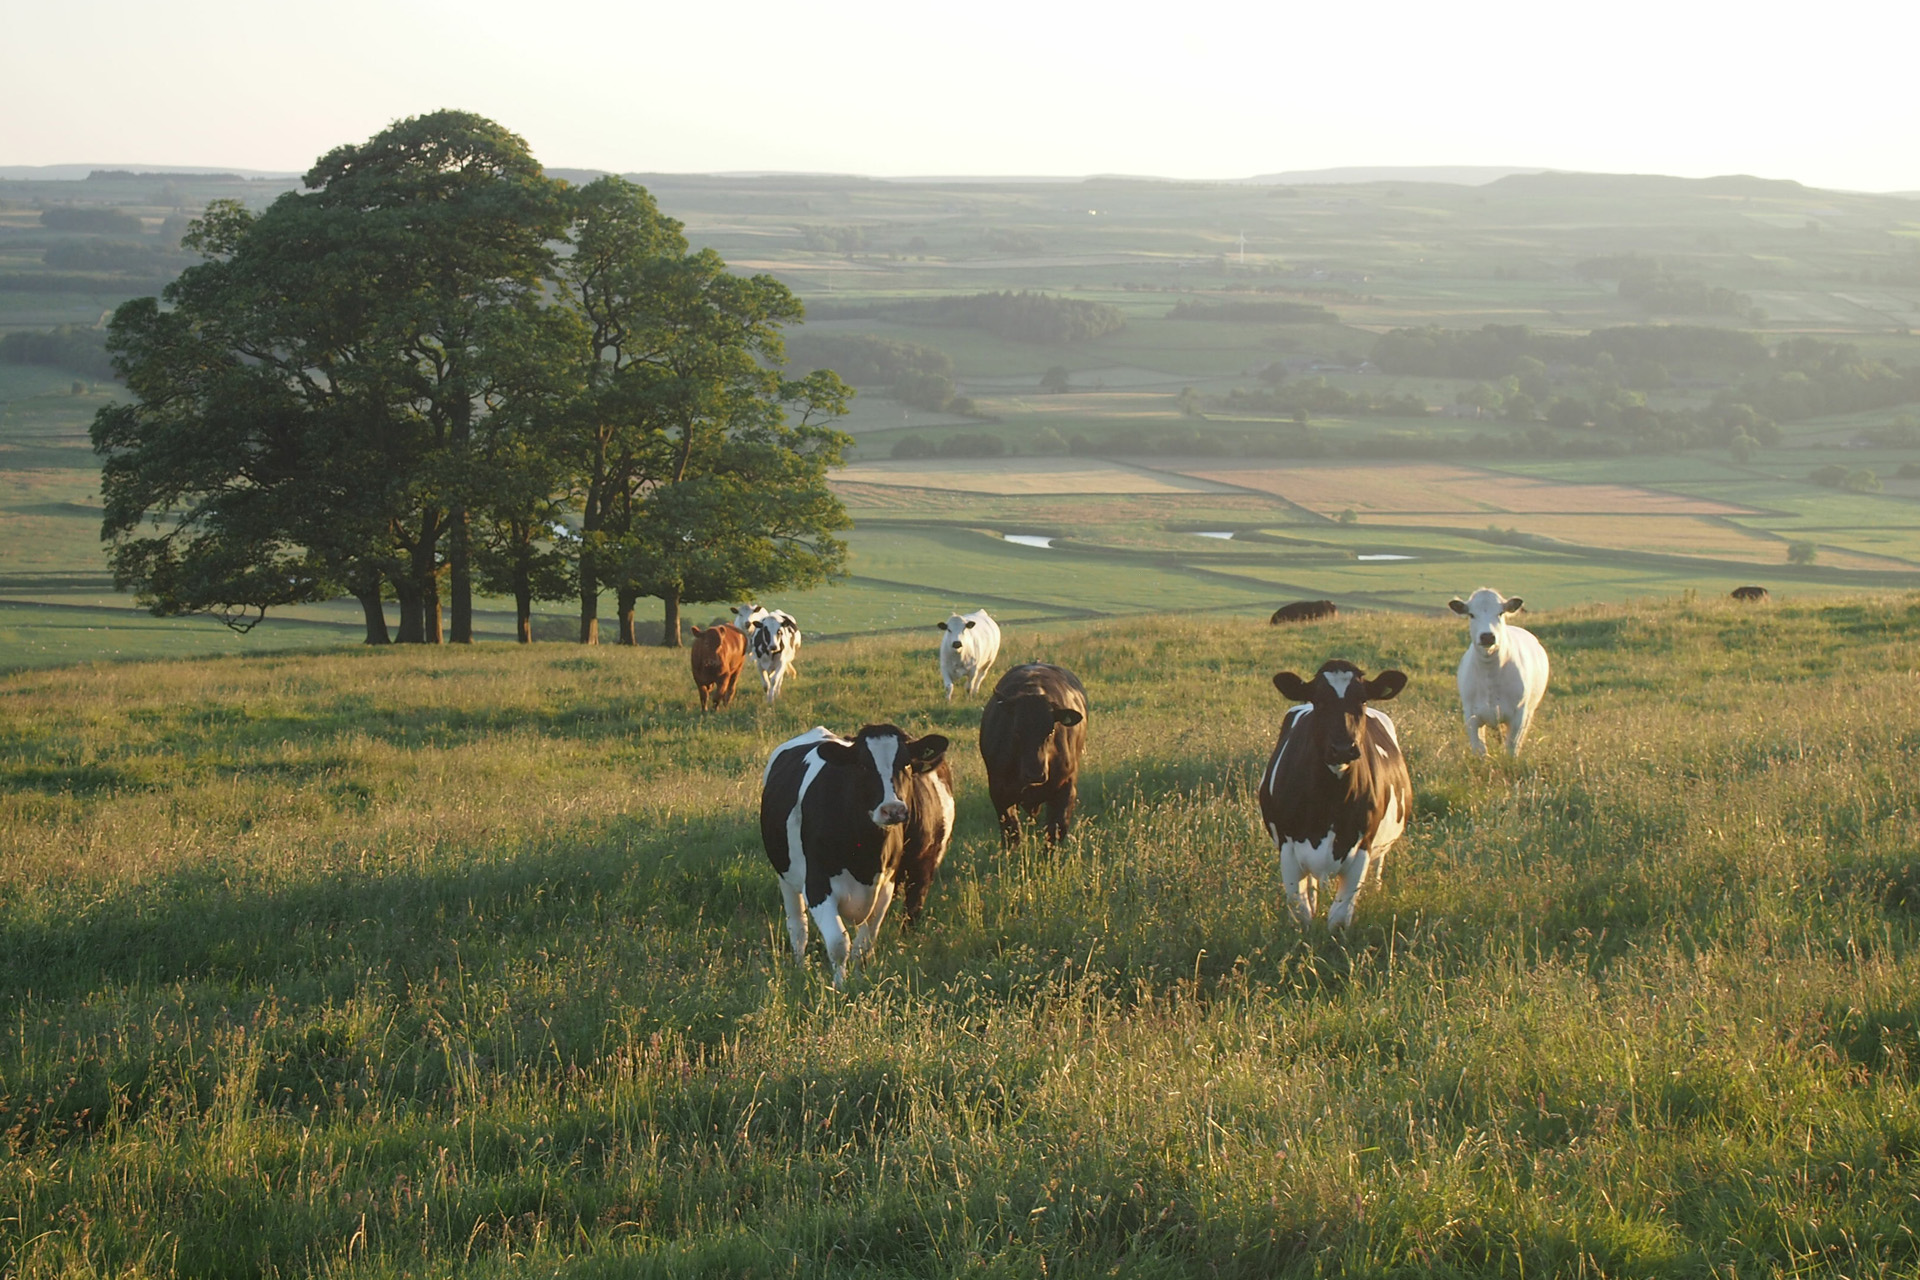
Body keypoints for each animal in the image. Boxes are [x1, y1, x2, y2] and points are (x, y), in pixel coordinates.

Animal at [756, 725, 952, 990]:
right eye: (863, 765)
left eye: (906, 764)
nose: (893, 809)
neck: (865, 855)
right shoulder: (817, 886)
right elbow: (839, 944)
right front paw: (839, 987)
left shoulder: (886, 887)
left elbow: (863, 945)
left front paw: (859, 980)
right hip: (785, 876)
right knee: (798, 927)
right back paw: (799, 966)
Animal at [983, 667, 1090, 844]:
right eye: (1016, 730)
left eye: (1051, 730)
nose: (1035, 774)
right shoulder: (999, 793)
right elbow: (1012, 833)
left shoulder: (1066, 789)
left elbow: (1055, 831)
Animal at [1251, 660, 1420, 932]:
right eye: (1319, 700)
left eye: (1362, 700)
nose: (1342, 748)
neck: (1329, 801)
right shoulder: (1288, 847)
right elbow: (1301, 914)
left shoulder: (1362, 846)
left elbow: (1339, 918)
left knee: (1377, 870)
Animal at [1443, 591, 1551, 759]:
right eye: (1471, 614)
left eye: (1500, 613)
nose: (1487, 636)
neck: (1490, 674)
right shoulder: (1471, 715)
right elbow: (1480, 750)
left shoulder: (1519, 715)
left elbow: (1512, 748)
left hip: (1529, 710)